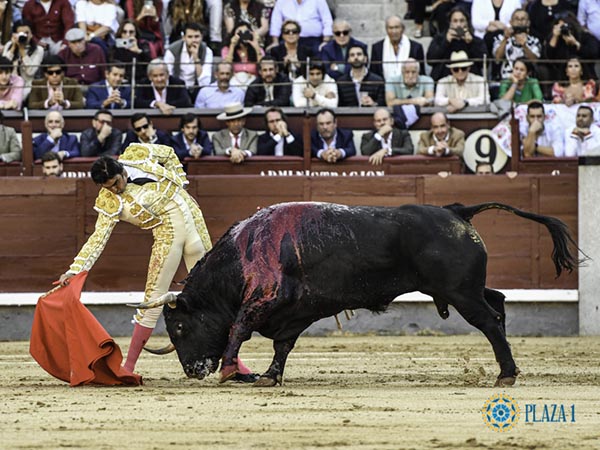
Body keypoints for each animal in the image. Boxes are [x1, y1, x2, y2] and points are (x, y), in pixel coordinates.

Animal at [134, 201, 580, 386]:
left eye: (178, 326)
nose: (193, 370)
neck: (245, 251)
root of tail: (457, 210)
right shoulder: (292, 312)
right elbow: (282, 345)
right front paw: (269, 377)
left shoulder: (264, 299)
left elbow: (238, 329)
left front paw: (231, 371)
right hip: (463, 288)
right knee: (499, 303)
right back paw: (508, 368)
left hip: (460, 293)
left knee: (488, 321)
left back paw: (506, 373)